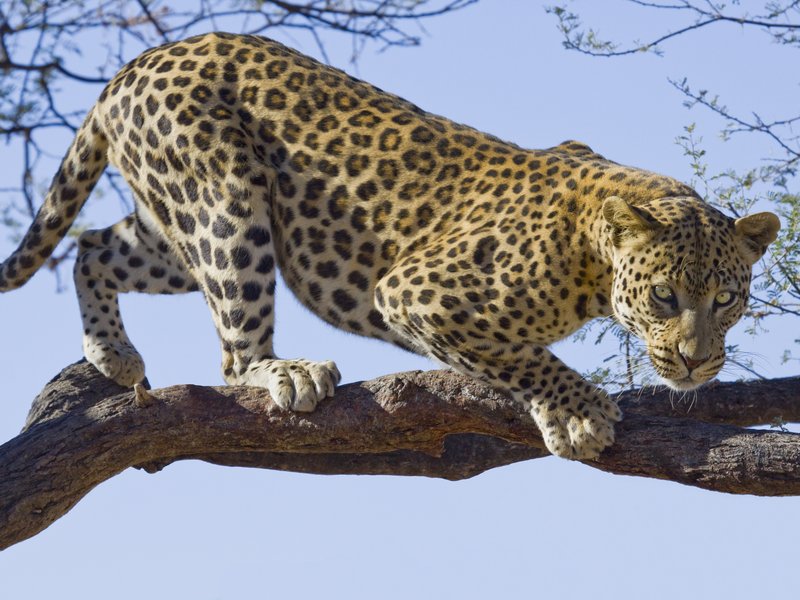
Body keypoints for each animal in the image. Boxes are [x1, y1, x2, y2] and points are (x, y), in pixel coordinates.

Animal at [0, 32, 780, 459]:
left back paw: (112, 353)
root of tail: (138, 62)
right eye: (664, 296)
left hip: (176, 224)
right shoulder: (416, 291)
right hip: (225, 200)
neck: (592, 257)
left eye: (728, 298)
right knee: (232, 353)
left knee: (93, 246)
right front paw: (577, 412)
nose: (696, 362)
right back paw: (285, 373)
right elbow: (522, 355)